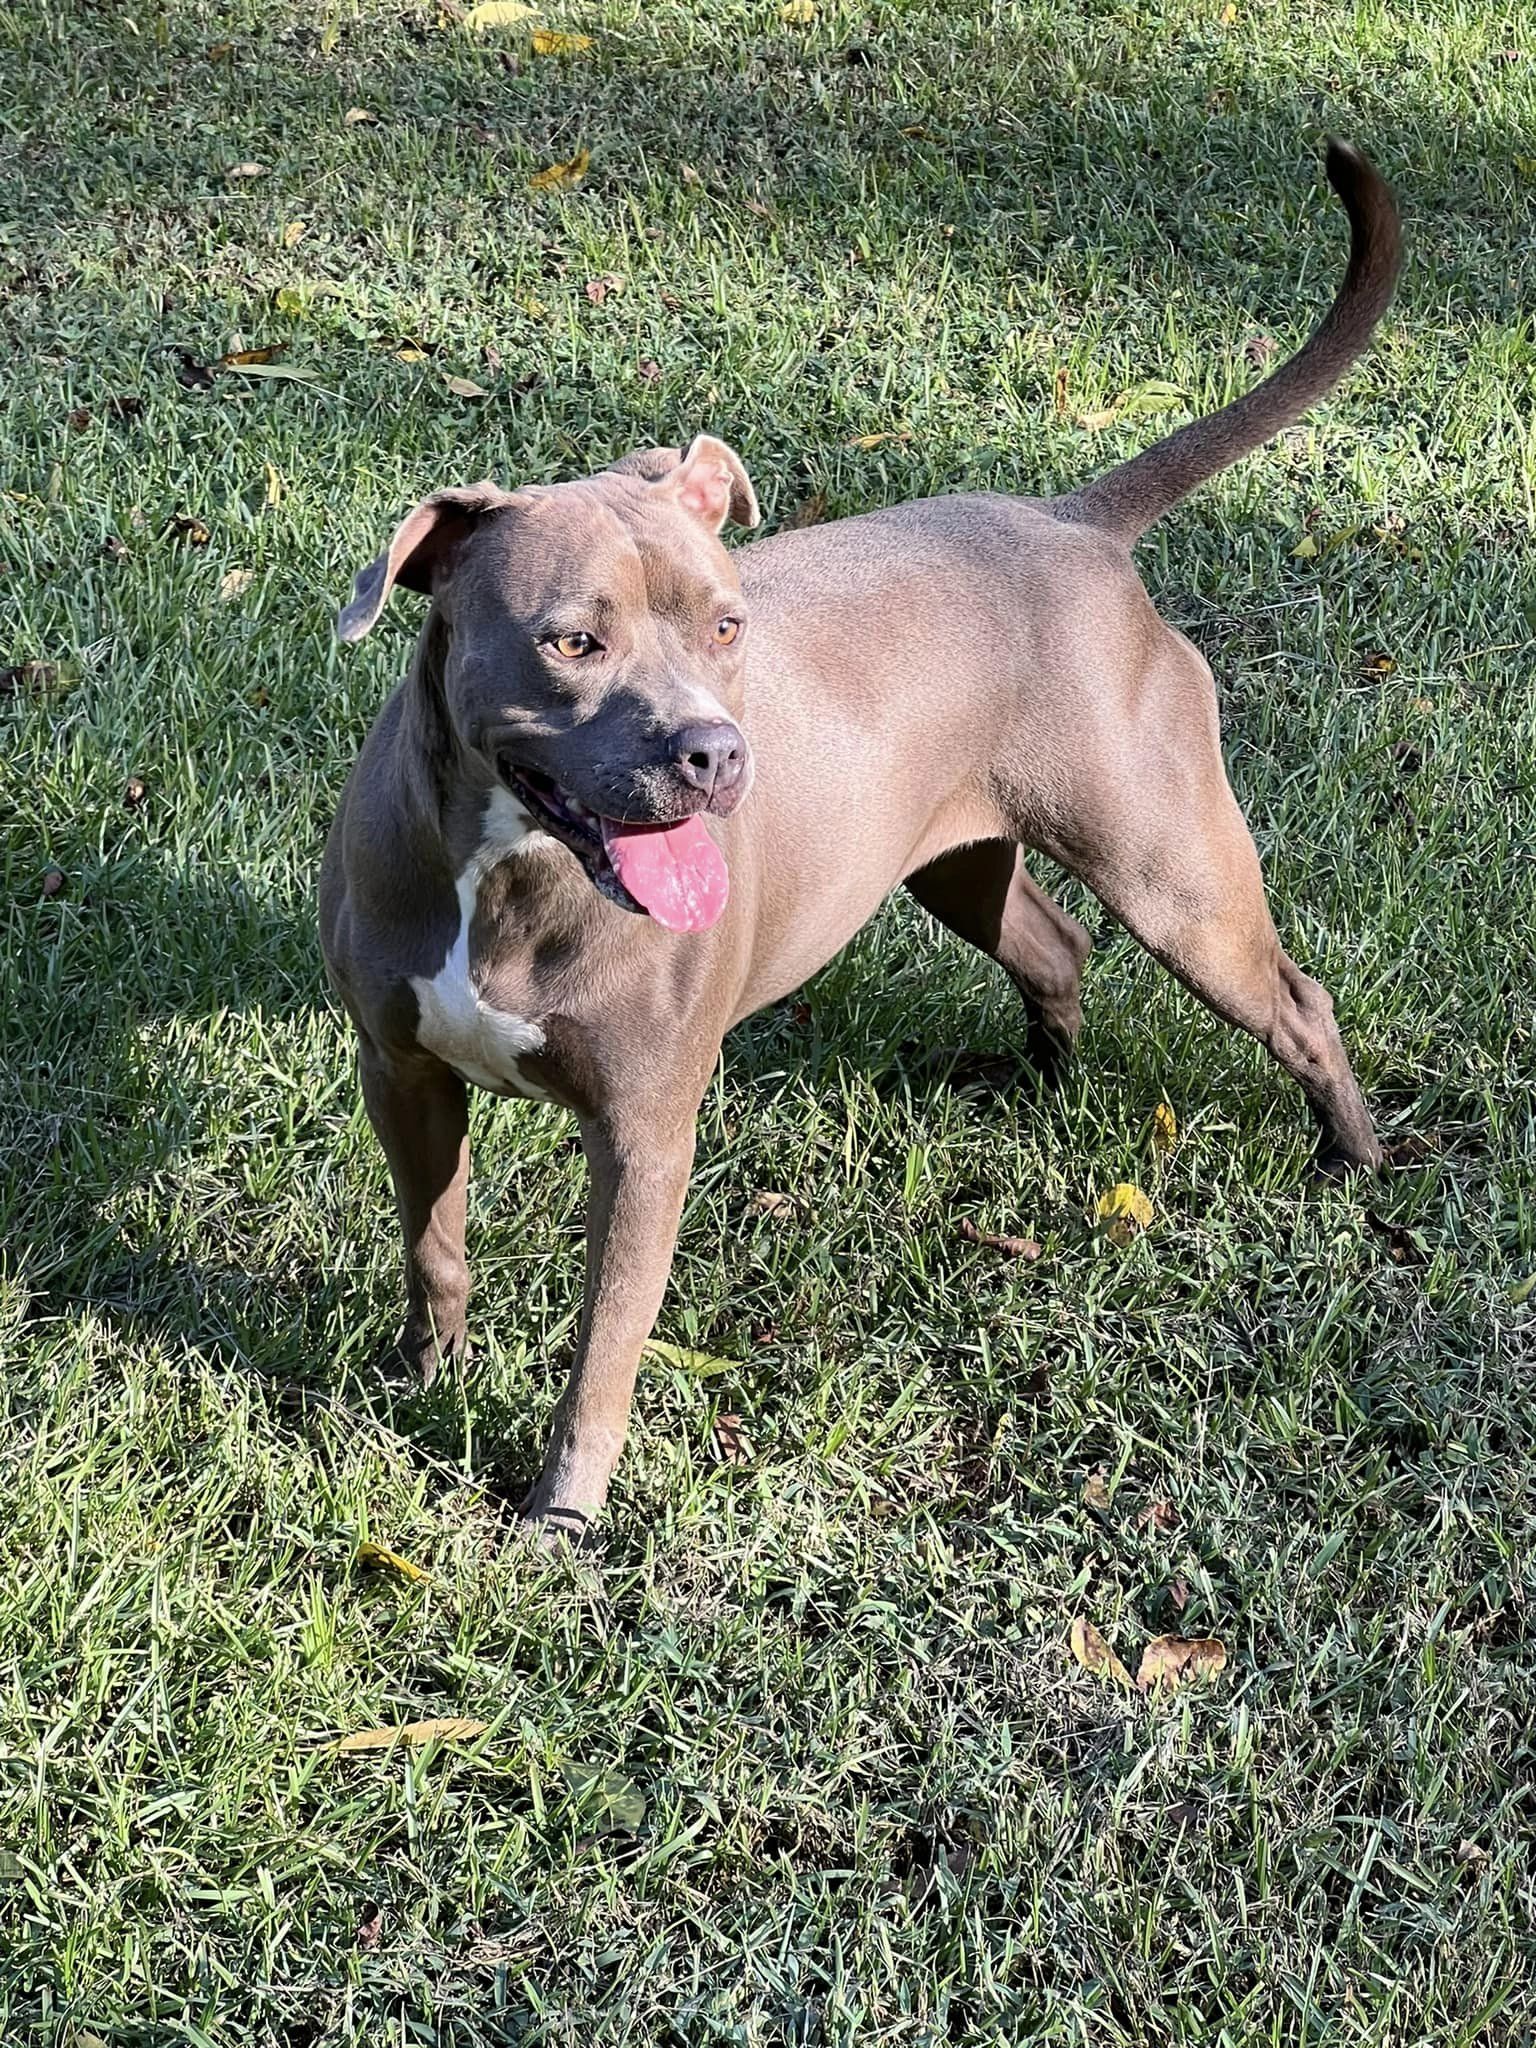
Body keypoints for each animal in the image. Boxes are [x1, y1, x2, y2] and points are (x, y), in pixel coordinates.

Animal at [321, 136, 1409, 1531]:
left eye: (727, 623)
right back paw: (1043, 1081)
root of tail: (1074, 521)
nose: (716, 754)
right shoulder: (401, 1070)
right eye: (572, 639)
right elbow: (434, 1240)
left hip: (1176, 878)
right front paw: (425, 1373)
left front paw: (562, 1509)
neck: (511, 872)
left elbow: (605, 1341)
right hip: (952, 860)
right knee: (1053, 945)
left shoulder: (644, 1133)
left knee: (1294, 997)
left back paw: (1352, 1153)